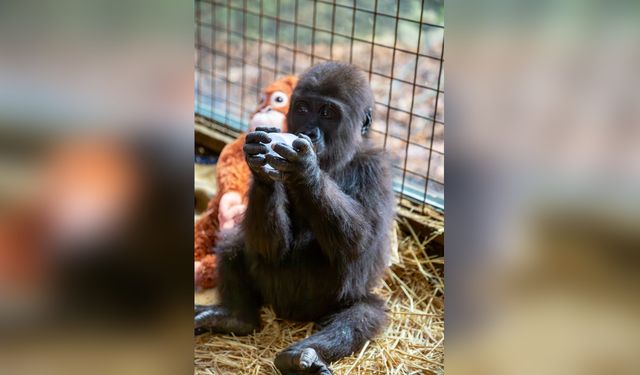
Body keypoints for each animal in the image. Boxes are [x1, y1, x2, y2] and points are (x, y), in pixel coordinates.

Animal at [195, 63, 396, 374]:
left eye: (327, 112)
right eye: (302, 108)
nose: (309, 132)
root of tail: (289, 315)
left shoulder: (376, 169)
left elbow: (359, 242)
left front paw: (306, 169)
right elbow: (270, 247)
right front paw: (260, 168)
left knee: (364, 313)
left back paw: (303, 354)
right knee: (233, 245)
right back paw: (236, 318)